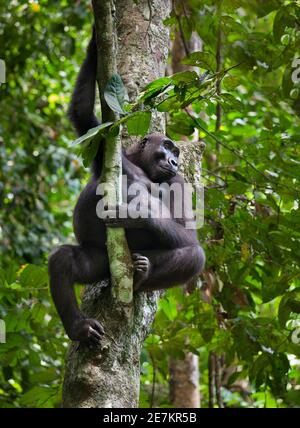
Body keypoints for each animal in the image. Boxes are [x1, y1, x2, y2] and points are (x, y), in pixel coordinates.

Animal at [48, 30, 204, 346]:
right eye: (167, 147)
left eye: (177, 153)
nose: (174, 160)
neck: (142, 166)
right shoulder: (106, 144)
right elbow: (84, 115)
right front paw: (95, 43)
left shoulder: (178, 181)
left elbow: (188, 234)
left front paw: (137, 215)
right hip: (101, 261)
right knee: (65, 260)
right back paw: (79, 327)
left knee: (194, 256)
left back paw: (142, 278)